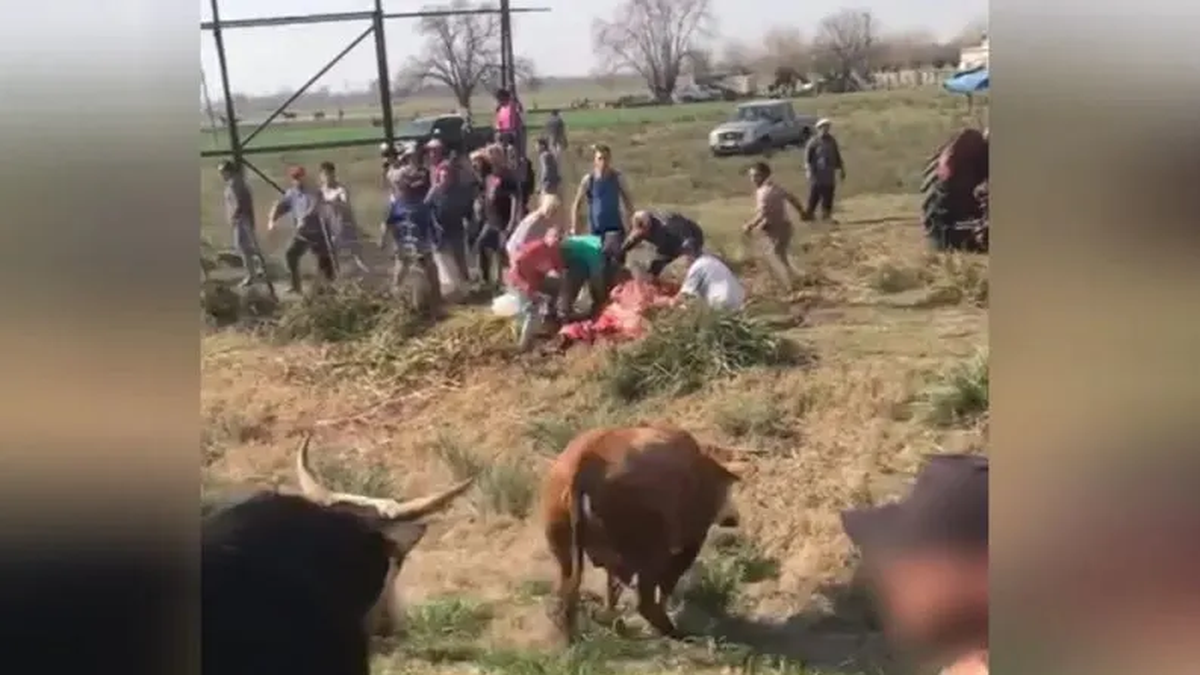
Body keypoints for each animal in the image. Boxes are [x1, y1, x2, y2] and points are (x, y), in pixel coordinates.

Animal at [544, 422, 748, 638]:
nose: (733, 518)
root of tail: (587, 459)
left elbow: (613, 587)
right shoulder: (689, 542)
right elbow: (666, 585)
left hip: (563, 547)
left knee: (566, 591)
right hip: (651, 551)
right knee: (646, 603)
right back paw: (673, 631)